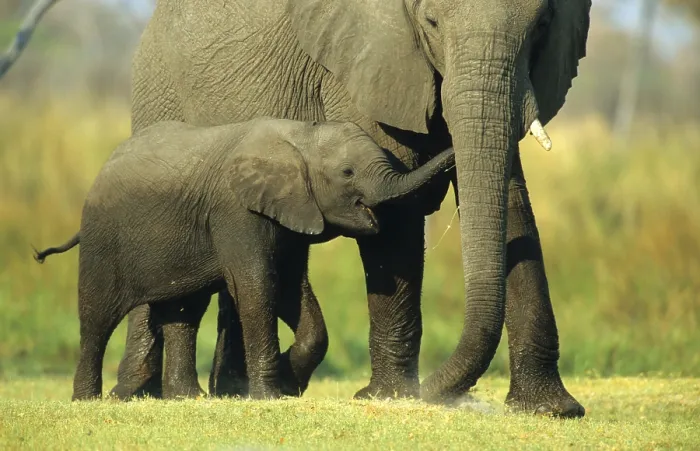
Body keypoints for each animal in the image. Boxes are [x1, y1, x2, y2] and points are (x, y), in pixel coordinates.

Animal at [32, 118, 456, 401]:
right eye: (347, 172)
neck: (302, 138)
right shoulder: (236, 211)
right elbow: (256, 286)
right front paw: (270, 394)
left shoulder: (290, 213)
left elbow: (288, 289)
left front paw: (288, 382)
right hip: (103, 239)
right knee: (97, 318)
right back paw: (86, 400)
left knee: (183, 312)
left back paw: (189, 398)